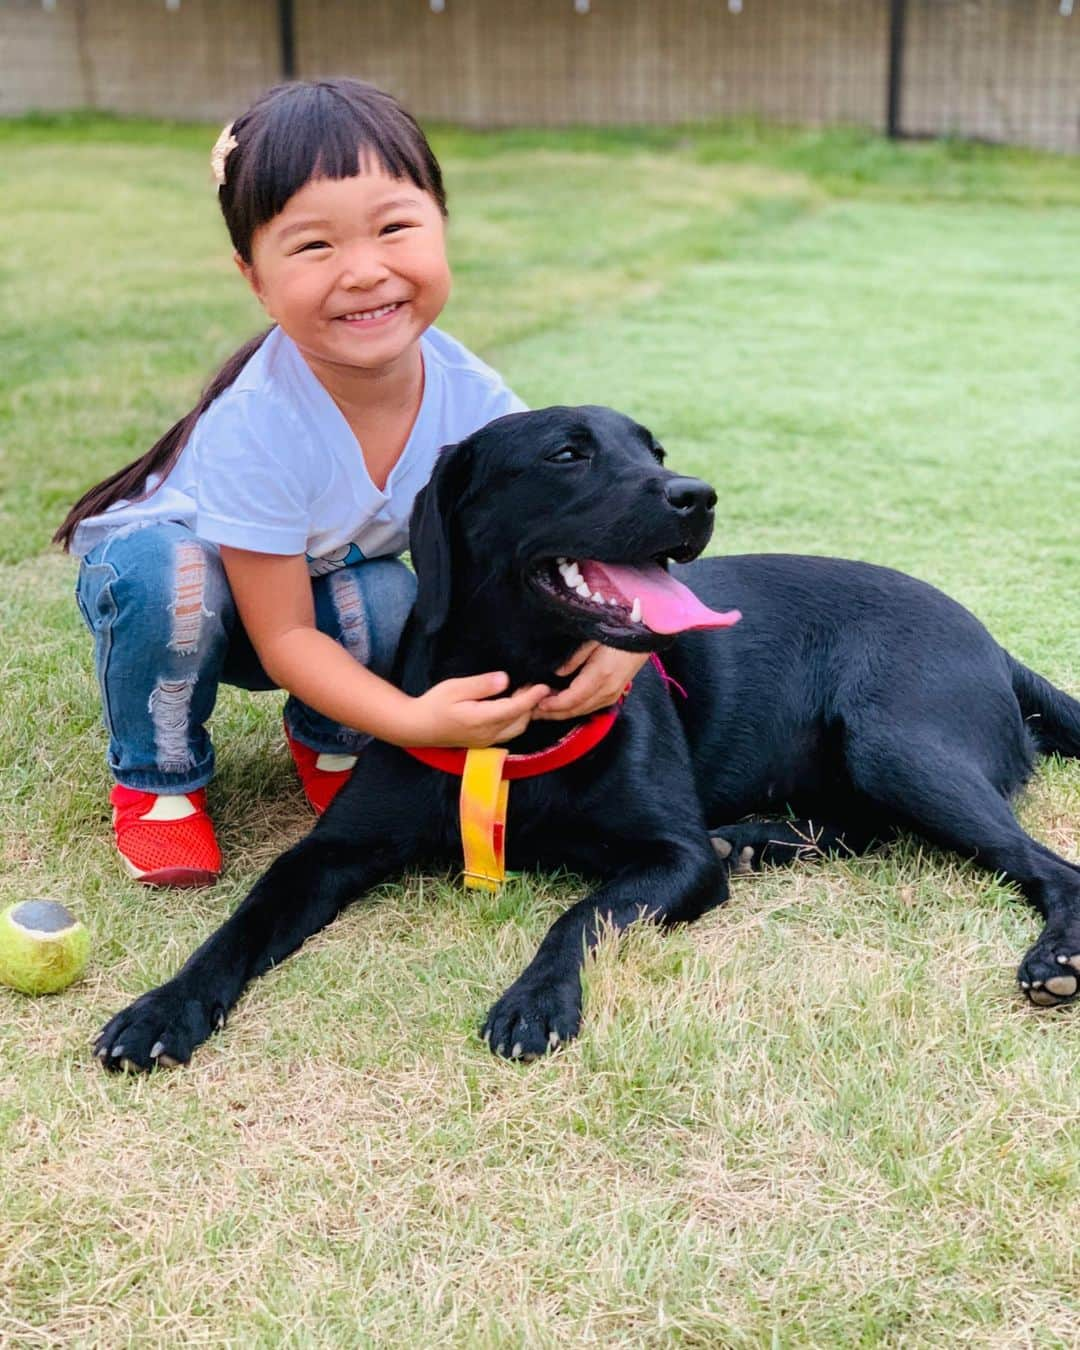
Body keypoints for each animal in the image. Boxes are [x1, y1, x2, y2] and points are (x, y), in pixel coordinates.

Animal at [97, 405, 1080, 1069]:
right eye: (568, 454)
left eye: (656, 453)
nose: (698, 495)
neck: (525, 700)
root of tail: (990, 637)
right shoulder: (329, 851)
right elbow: (239, 925)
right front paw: (162, 1008)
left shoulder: (671, 858)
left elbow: (581, 915)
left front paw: (534, 1001)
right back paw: (758, 839)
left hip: (896, 743)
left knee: (1044, 864)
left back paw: (1056, 956)